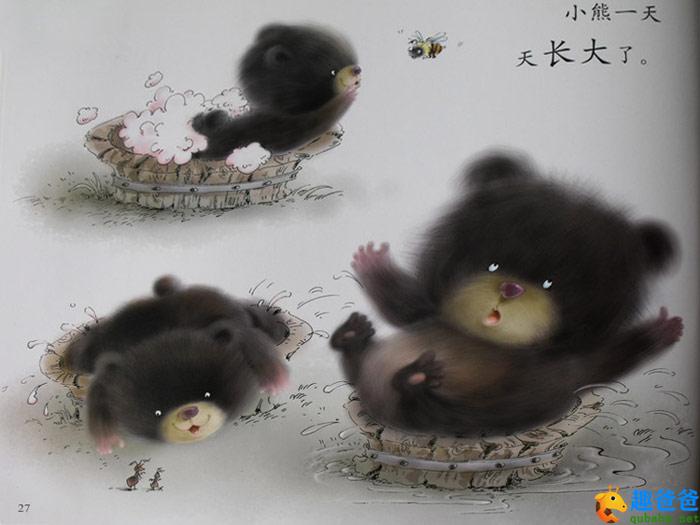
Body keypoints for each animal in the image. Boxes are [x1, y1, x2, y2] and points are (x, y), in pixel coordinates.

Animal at [64, 276, 290, 453]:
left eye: (208, 393)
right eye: (157, 412)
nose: (188, 412)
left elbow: (250, 340)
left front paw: (277, 383)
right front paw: (107, 440)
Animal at [331, 152, 683, 437]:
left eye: (550, 284)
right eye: (492, 264)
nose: (510, 288)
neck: (480, 339)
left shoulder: (556, 369)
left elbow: (598, 365)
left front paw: (658, 332)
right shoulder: (431, 311)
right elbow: (407, 308)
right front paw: (374, 265)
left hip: (436, 414)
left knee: (425, 408)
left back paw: (413, 380)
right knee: (357, 365)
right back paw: (353, 336)